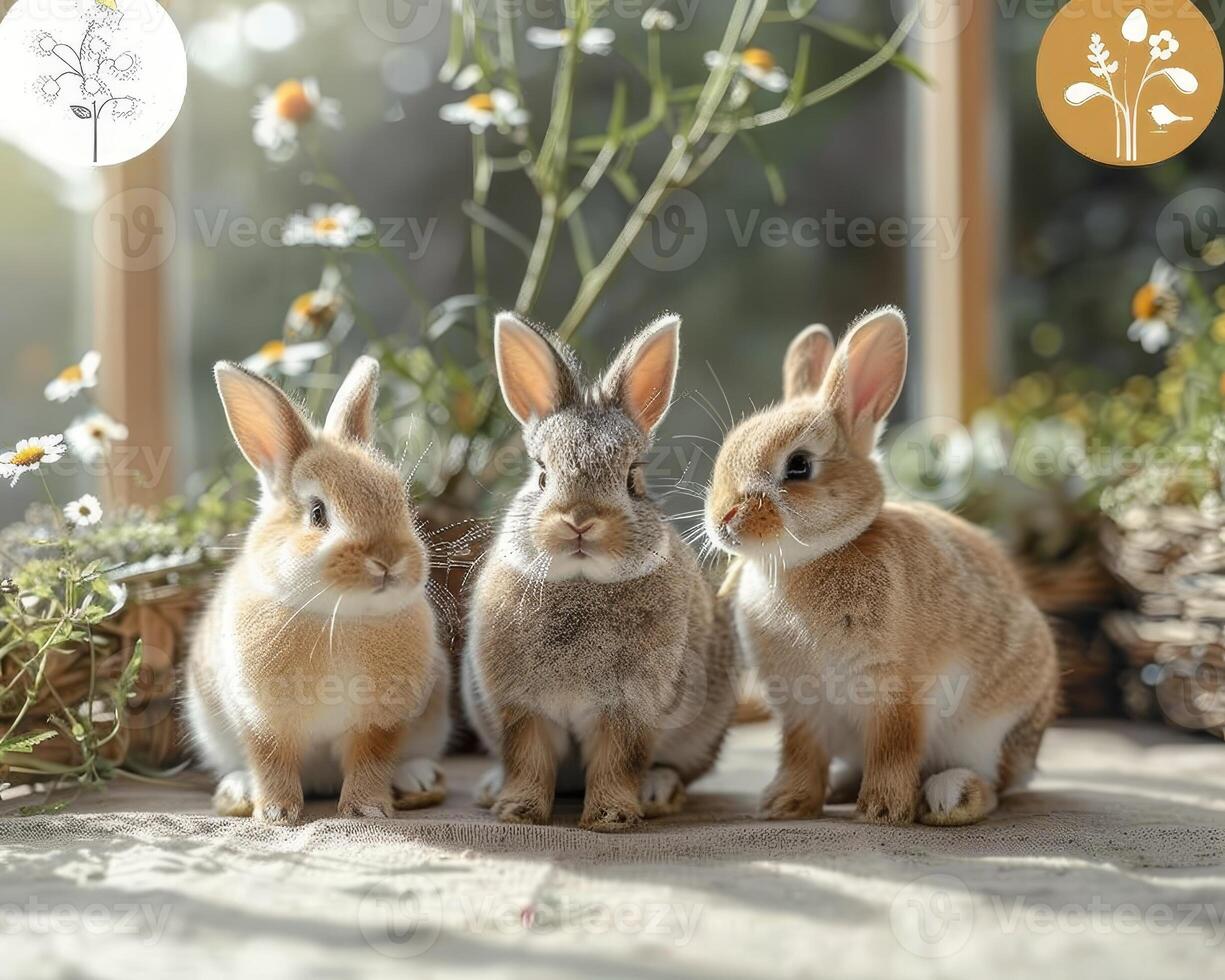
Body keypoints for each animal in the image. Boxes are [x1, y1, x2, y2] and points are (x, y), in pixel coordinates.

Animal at [181, 355, 450, 823]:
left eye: (401, 500)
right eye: (318, 513)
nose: (388, 559)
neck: (339, 616)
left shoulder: (380, 721)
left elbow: (371, 760)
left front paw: (366, 810)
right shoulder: (264, 720)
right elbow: (271, 761)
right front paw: (276, 814)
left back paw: (415, 779)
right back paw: (239, 789)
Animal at [463, 313, 739, 833]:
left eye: (632, 478)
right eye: (541, 474)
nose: (580, 519)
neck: (581, 582)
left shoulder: (629, 709)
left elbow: (618, 762)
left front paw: (611, 817)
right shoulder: (524, 709)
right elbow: (528, 760)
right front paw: (517, 811)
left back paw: (657, 790)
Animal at [705, 308, 1058, 828]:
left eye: (799, 466)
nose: (723, 518)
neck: (809, 559)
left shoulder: (895, 689)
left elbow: (894, 748)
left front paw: (883, 810)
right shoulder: (800, 708)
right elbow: (799, 753)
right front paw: (785, 804)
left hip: (987, 731)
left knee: (994, 785)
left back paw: (950, 798)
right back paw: (840, 788)